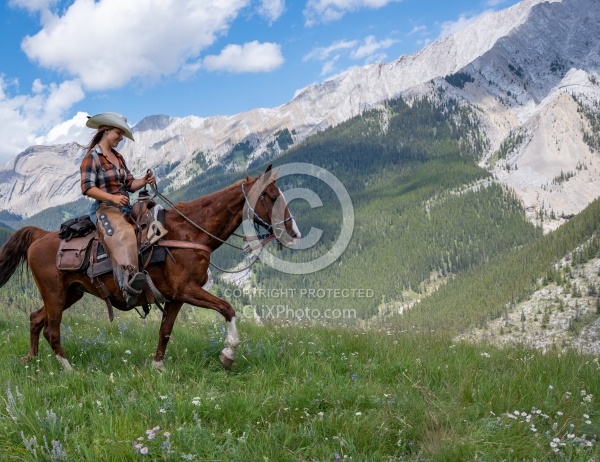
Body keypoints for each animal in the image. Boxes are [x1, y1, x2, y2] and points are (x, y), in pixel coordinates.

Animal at [0, 165, 300, 372]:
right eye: (272, 196)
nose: (294, 232)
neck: (189, 232)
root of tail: (40, 237)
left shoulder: (177, 296)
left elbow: (165, 330)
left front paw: (158, 367)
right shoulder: (187, 289)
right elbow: (227, 308)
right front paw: (228, 355)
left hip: (71, 293)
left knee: (36, 319)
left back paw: (32, 359)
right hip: (55, 293)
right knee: (51, 329)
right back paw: (67, 369)